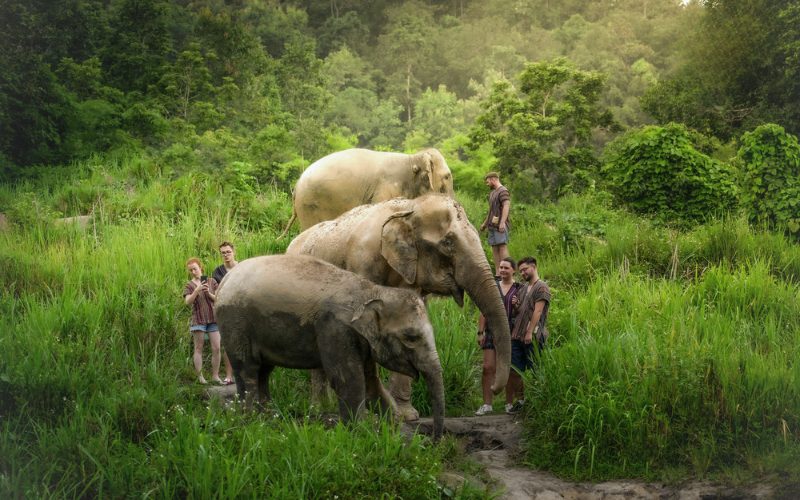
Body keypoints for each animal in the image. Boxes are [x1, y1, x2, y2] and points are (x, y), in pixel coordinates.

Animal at [216, 256, 446, 440]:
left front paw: (392, 428)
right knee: (248, 371)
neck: (372, 291)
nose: (435, 440)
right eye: (411, 337)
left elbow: (371, 382)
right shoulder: (335, 329)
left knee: (264, 372)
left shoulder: (361, 339)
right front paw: (357, 435)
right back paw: (250, 420)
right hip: (235, 323)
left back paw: (268, 418)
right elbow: (348, 380)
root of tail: (224, 282)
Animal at [288, 193, 512, 420]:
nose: (494, 388)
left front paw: (406, 415)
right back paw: (319, 409)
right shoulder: (362, 264)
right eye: (448, 243)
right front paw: (374, 415)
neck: (409, 207)